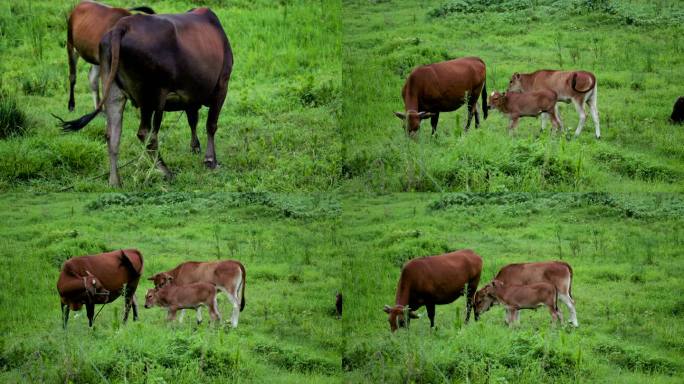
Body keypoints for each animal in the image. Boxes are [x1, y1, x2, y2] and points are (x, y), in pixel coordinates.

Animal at [56, 6, 232, 186]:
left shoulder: (190, 97)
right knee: (147, 134)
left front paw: (195, 147)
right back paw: (166, 172)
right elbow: (211, 125)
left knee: (113, 134)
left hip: (113, 90)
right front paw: (210, 160)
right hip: (152, 97)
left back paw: (115, 181)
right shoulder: (222, 85)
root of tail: (122, 26)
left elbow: (193, 120)